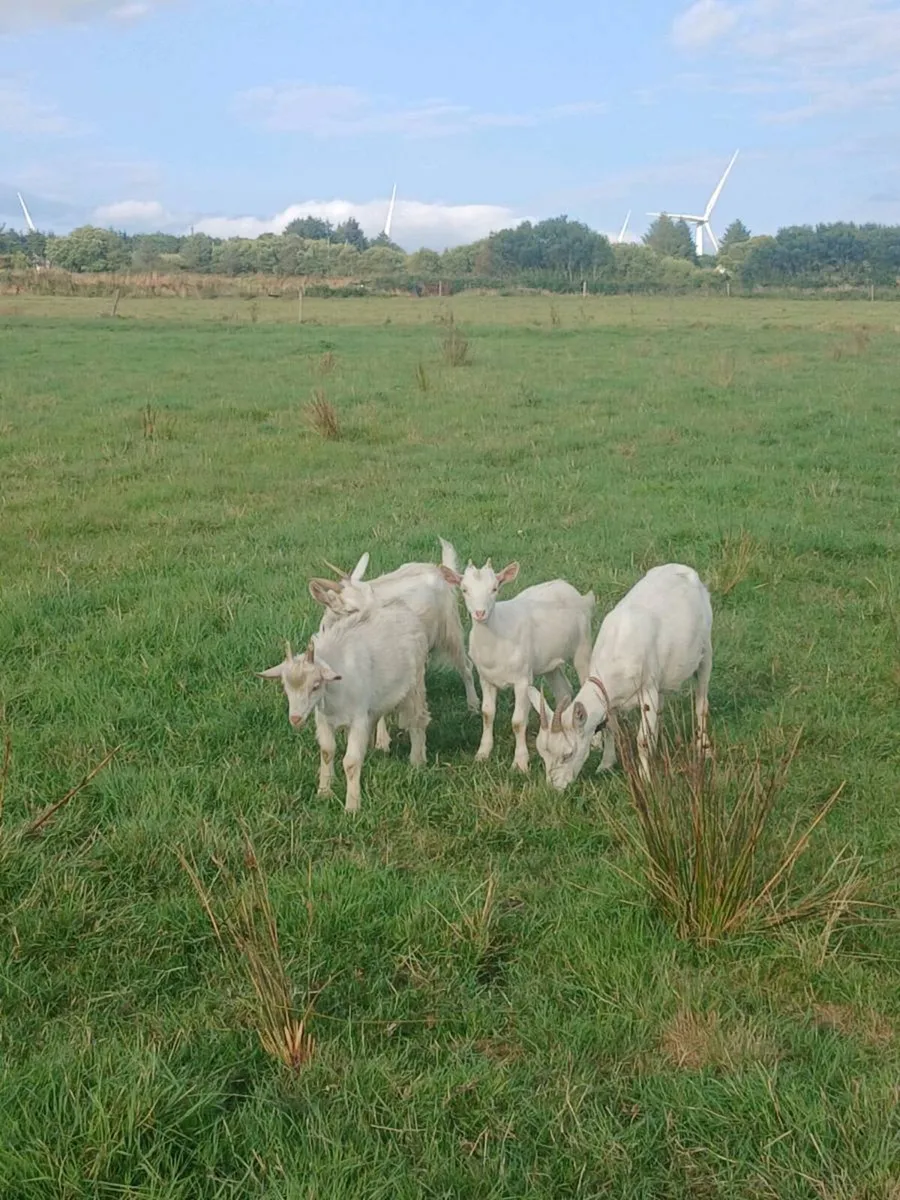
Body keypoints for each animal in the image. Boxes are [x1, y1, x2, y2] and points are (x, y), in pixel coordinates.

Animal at [258, 599, 429, 812]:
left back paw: (417, 761)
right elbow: (327, 751)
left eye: (316, 685)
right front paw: (324, 792)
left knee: (418, 720)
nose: (295, 719)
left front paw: (352, 806)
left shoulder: (358, 719)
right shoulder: (323, 719)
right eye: (285, 686)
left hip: (415, 684)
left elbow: (351, 762)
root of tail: (403, 609)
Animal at [309, 537, 479, 754]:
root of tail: (438, 569)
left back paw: (473, 706)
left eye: (373, 595)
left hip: (450, 630)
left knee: (465, 667)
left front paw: (382, 741)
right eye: (351, 609)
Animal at [440, 558, 594, 772]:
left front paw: (520, 763)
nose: (480, 613)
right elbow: (487, 714)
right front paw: (482, 754)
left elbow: (518, 722)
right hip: (549, 662)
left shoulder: (522, 679)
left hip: (583, 646)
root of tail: (570, 589)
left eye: (494, 588)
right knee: (563, 690)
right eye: (464, 589)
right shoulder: (485, 678)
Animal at [528, 562, 713, 789]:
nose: (554, 788)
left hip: (706, 649)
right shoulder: (610, 699)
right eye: (542, 753)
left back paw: (704, 748)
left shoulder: (647, 689)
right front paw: (605, 764)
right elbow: (611, 729)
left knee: (701, 703)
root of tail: (684, 569)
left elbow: (642, 740)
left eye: (567, 754)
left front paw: (645, 778)